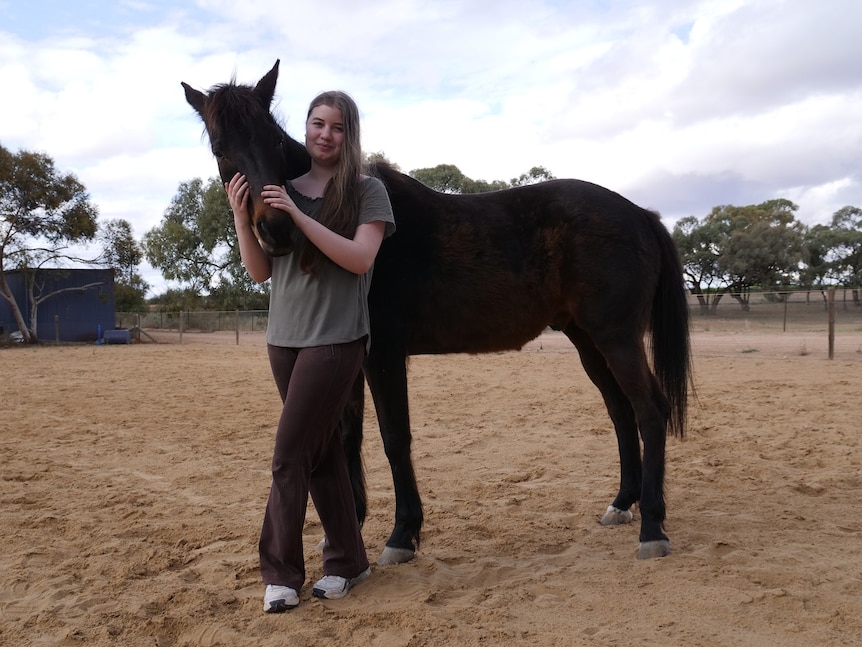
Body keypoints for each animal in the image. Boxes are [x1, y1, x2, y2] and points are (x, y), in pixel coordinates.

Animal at [184, 62, 696, 568]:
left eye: (273, 138)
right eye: (220, 149)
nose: (276, 229)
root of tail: (640, 214)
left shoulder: (384, 355)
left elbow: (395, 438)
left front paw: (402, 535)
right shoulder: (349, 357)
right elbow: (348, 435)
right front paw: (353, 526)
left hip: (617, 339)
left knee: (650, 410)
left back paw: (652, 527)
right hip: (589, 340)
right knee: (621, 411)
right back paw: (623, 504)